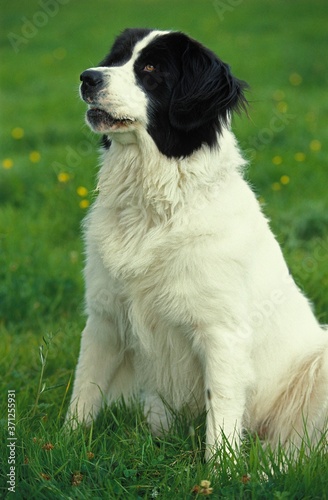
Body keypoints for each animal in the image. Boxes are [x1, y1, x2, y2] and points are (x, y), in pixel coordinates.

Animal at [66, 26, 328, 458]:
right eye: (117, 58)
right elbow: (84, 390)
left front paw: (221, 468)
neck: (154, 207)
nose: (88, 78)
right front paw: (66, 443)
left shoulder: (222, 333)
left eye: (151, 69)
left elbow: (219, 410)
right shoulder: (105, 318)